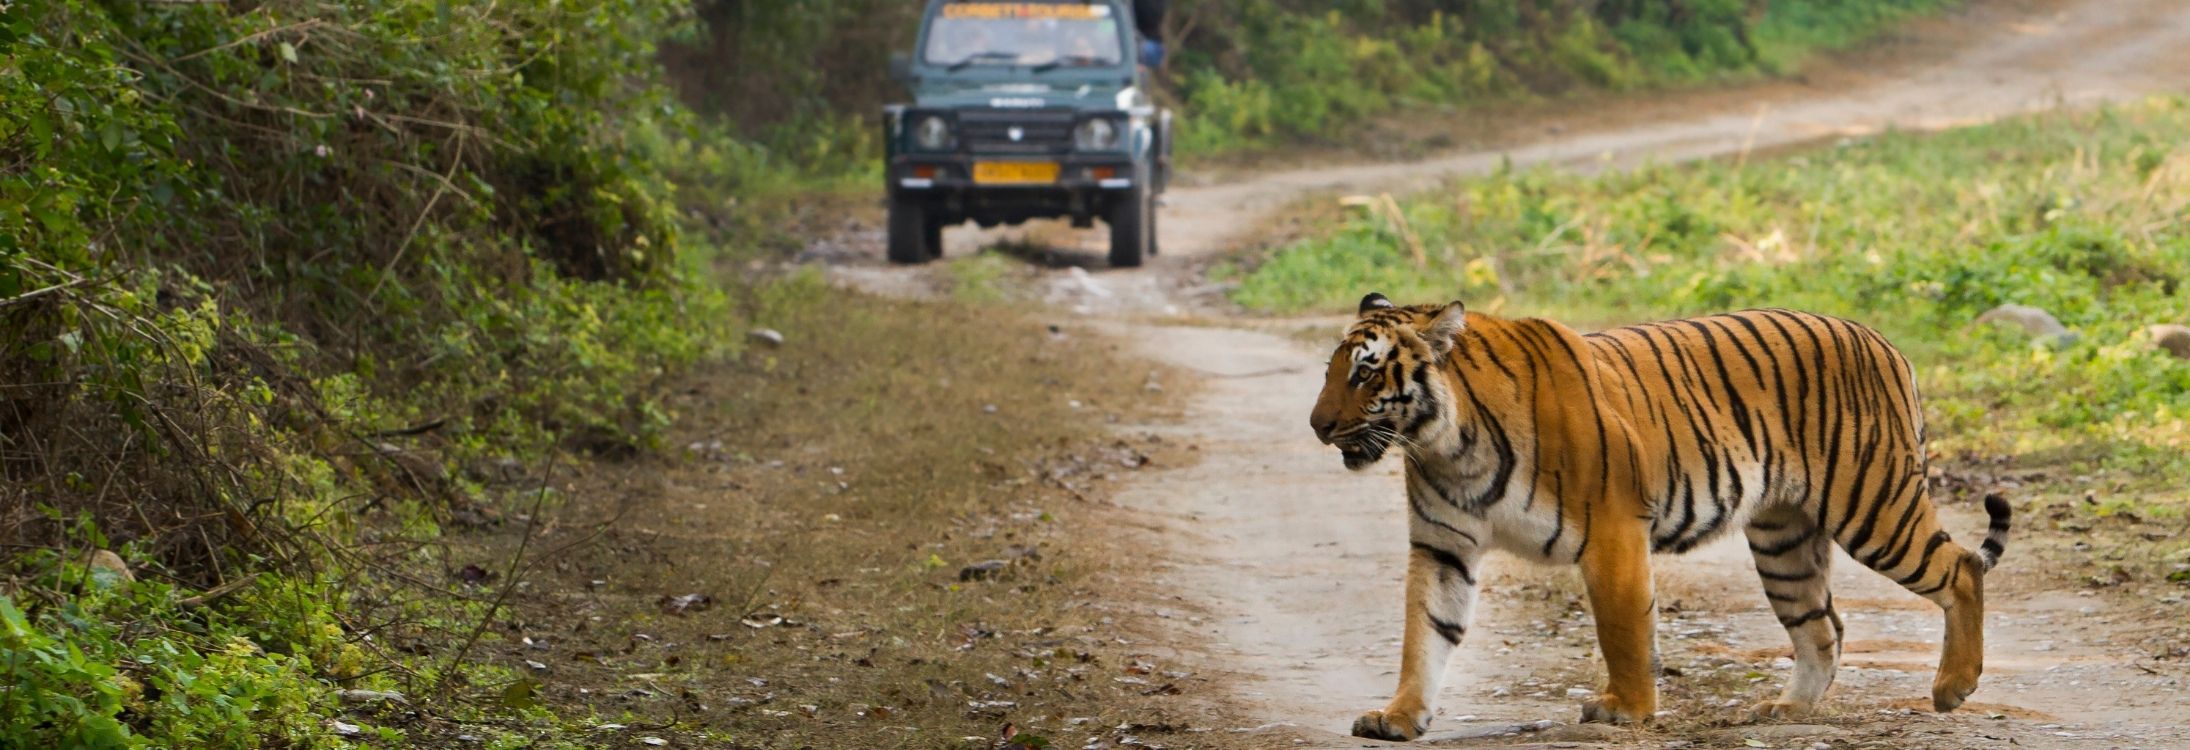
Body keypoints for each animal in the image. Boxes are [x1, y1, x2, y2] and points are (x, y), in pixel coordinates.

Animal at [1305, 291, 2006, 736]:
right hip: (1783, 540)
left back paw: (1953, 686)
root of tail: (1882, 340)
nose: (1317, 426)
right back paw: (1788, 710)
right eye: (1332, 372)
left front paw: (1627, 709)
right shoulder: (1443, 546)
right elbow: (1424, 634)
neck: (1445, 444)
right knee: (1823, 626)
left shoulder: (1613, 529)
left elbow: (1623, 628)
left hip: (1873, 503)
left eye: (1366, 374)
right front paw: (1398, 717)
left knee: (1961, 568)